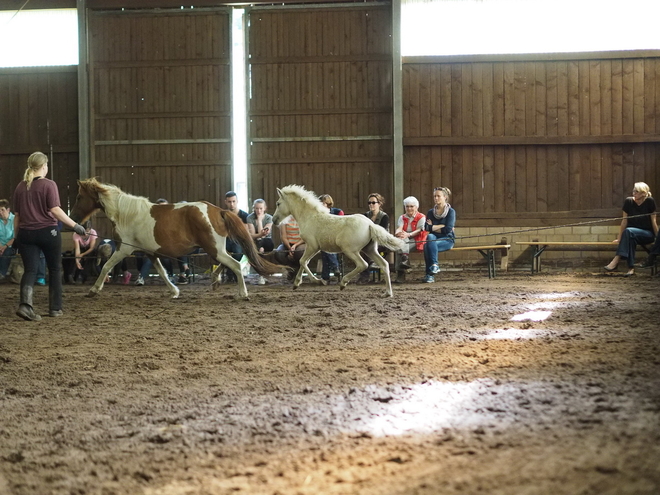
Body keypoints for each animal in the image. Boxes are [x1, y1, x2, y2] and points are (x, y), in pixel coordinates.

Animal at [69, 180, 282, 300]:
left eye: (79, 197)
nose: (74, 218)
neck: (126, 214)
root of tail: (218, 211)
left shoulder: (124, 249)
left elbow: (106, 266)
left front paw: (94, 290)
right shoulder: (150, 253)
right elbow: (163, 273)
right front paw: (174, 291)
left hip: (214, 248)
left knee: (235, 264)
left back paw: (242, 294)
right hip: (215, 249)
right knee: (229, 262)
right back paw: (215, 281)